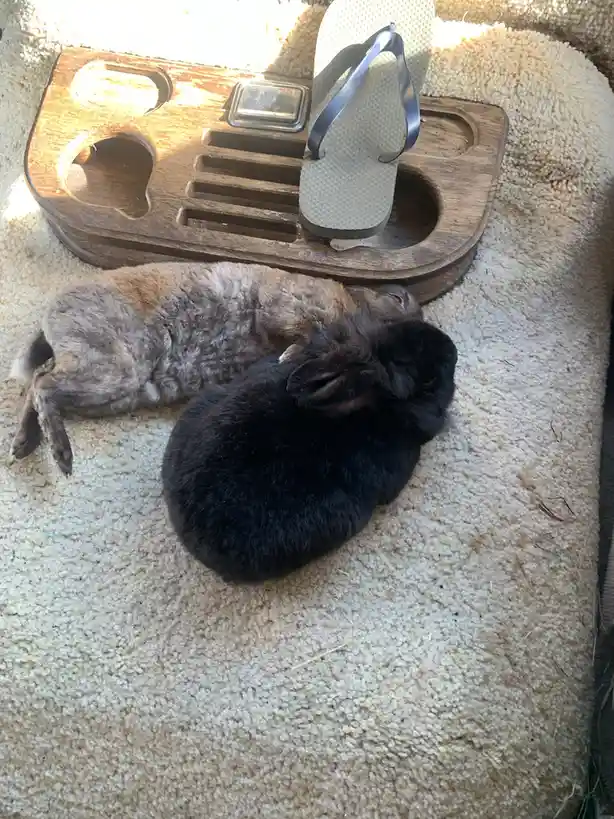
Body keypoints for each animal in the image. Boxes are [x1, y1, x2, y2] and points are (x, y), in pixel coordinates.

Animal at [7, 260, 421, 476]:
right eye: (397, 300)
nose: (410, 301)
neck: (353, 306)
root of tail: (49, 318)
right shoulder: (290, 308)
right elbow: (303, 332)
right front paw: (291, 357)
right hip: (114, 370)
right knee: (44, 384)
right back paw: (60, 456)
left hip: (115, 390)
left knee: (39, 380)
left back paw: (25, 442)